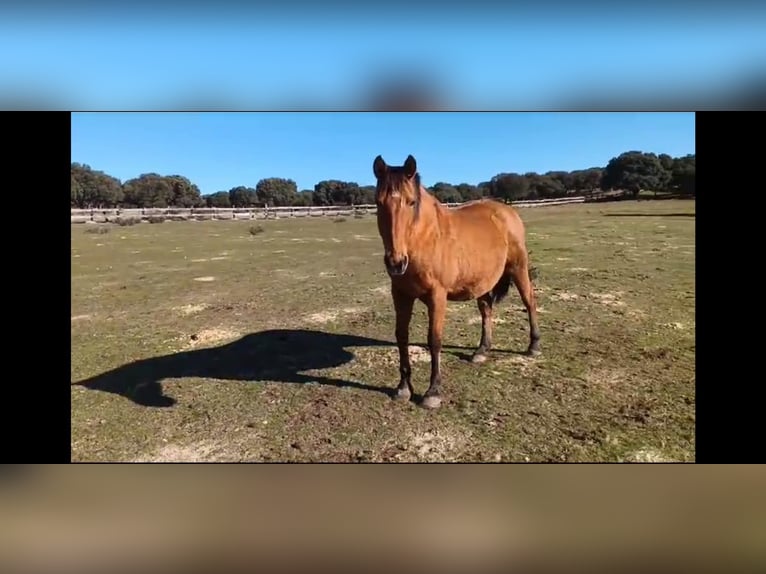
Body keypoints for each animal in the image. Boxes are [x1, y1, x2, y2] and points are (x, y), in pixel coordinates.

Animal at [372, 155, 540, 412]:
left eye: (411, 202)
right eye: (379, 203)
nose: (396, 262)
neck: (425, 240)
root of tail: (506, 210)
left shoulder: (437, 296)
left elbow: (434, 340)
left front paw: (433, 393)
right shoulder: (400, 294)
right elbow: (401, 336)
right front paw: (403, 388)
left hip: (519, 268)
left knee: (529, 301)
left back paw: (533, 346)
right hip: (483, 282)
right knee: (486, 311)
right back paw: (481, 351)